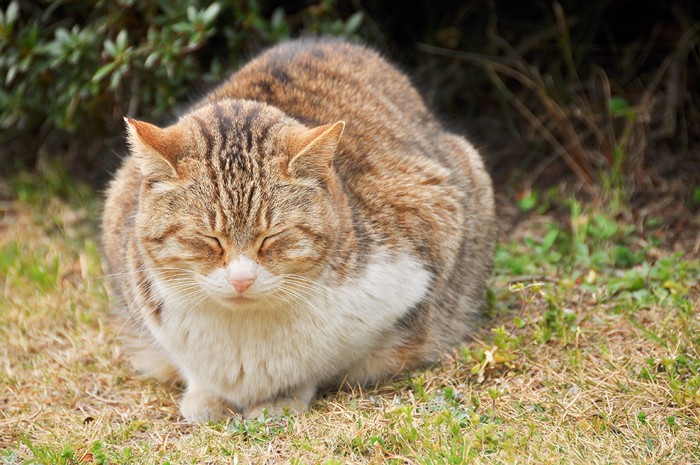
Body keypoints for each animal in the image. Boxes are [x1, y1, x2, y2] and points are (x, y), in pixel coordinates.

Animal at [102, 36, 498, 420]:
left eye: (272, 237)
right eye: (208, 238)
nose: (241, 280)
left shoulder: (425, 237)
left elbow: (333, 358)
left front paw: (283, 395)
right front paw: (207, 394)